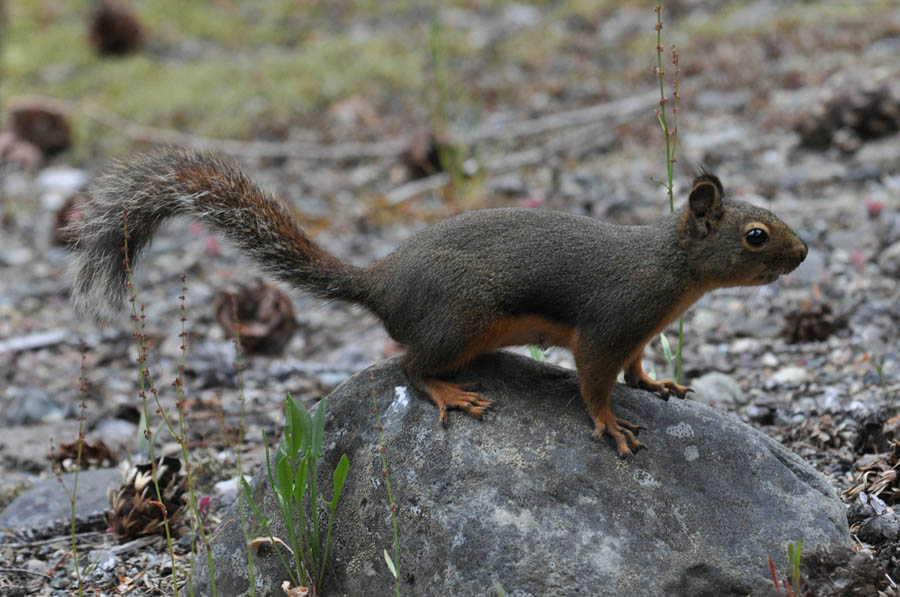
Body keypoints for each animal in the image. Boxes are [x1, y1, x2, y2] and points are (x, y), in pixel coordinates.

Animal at [68, 149, 808, 456]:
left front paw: (658, 384)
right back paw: (449, 391)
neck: (671, 271)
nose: (803, 253)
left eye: (772, 218)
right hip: (462, 319)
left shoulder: (638, 331)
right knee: (410, 367)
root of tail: (382, 282)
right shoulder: (610, 322)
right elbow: (596, 381)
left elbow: (634, 367)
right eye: (756, 235)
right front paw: (610, 425)